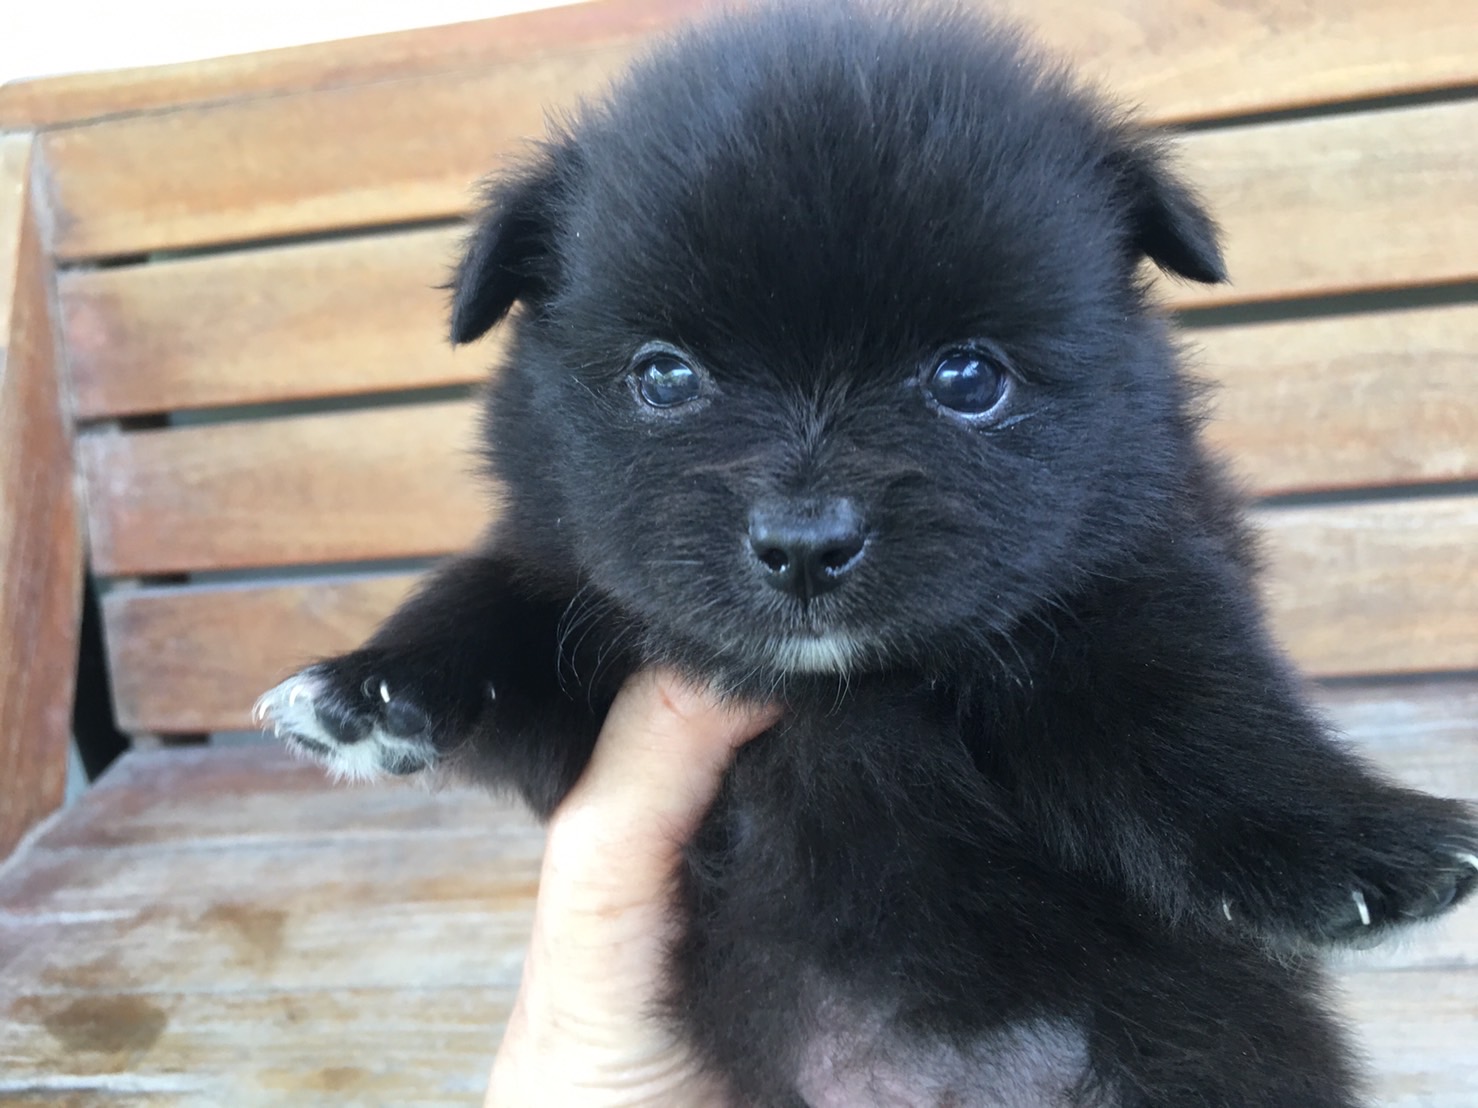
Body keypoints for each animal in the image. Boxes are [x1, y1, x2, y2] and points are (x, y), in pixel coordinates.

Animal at [257, 4, 1478, 1103]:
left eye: (969, 377)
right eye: (663, 375)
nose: (805, 547)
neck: (836, 700)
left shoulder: (1135, 581)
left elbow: (1197, 722)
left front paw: (1363, 845)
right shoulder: (579, 686)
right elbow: (492, 594)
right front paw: (369, 687)